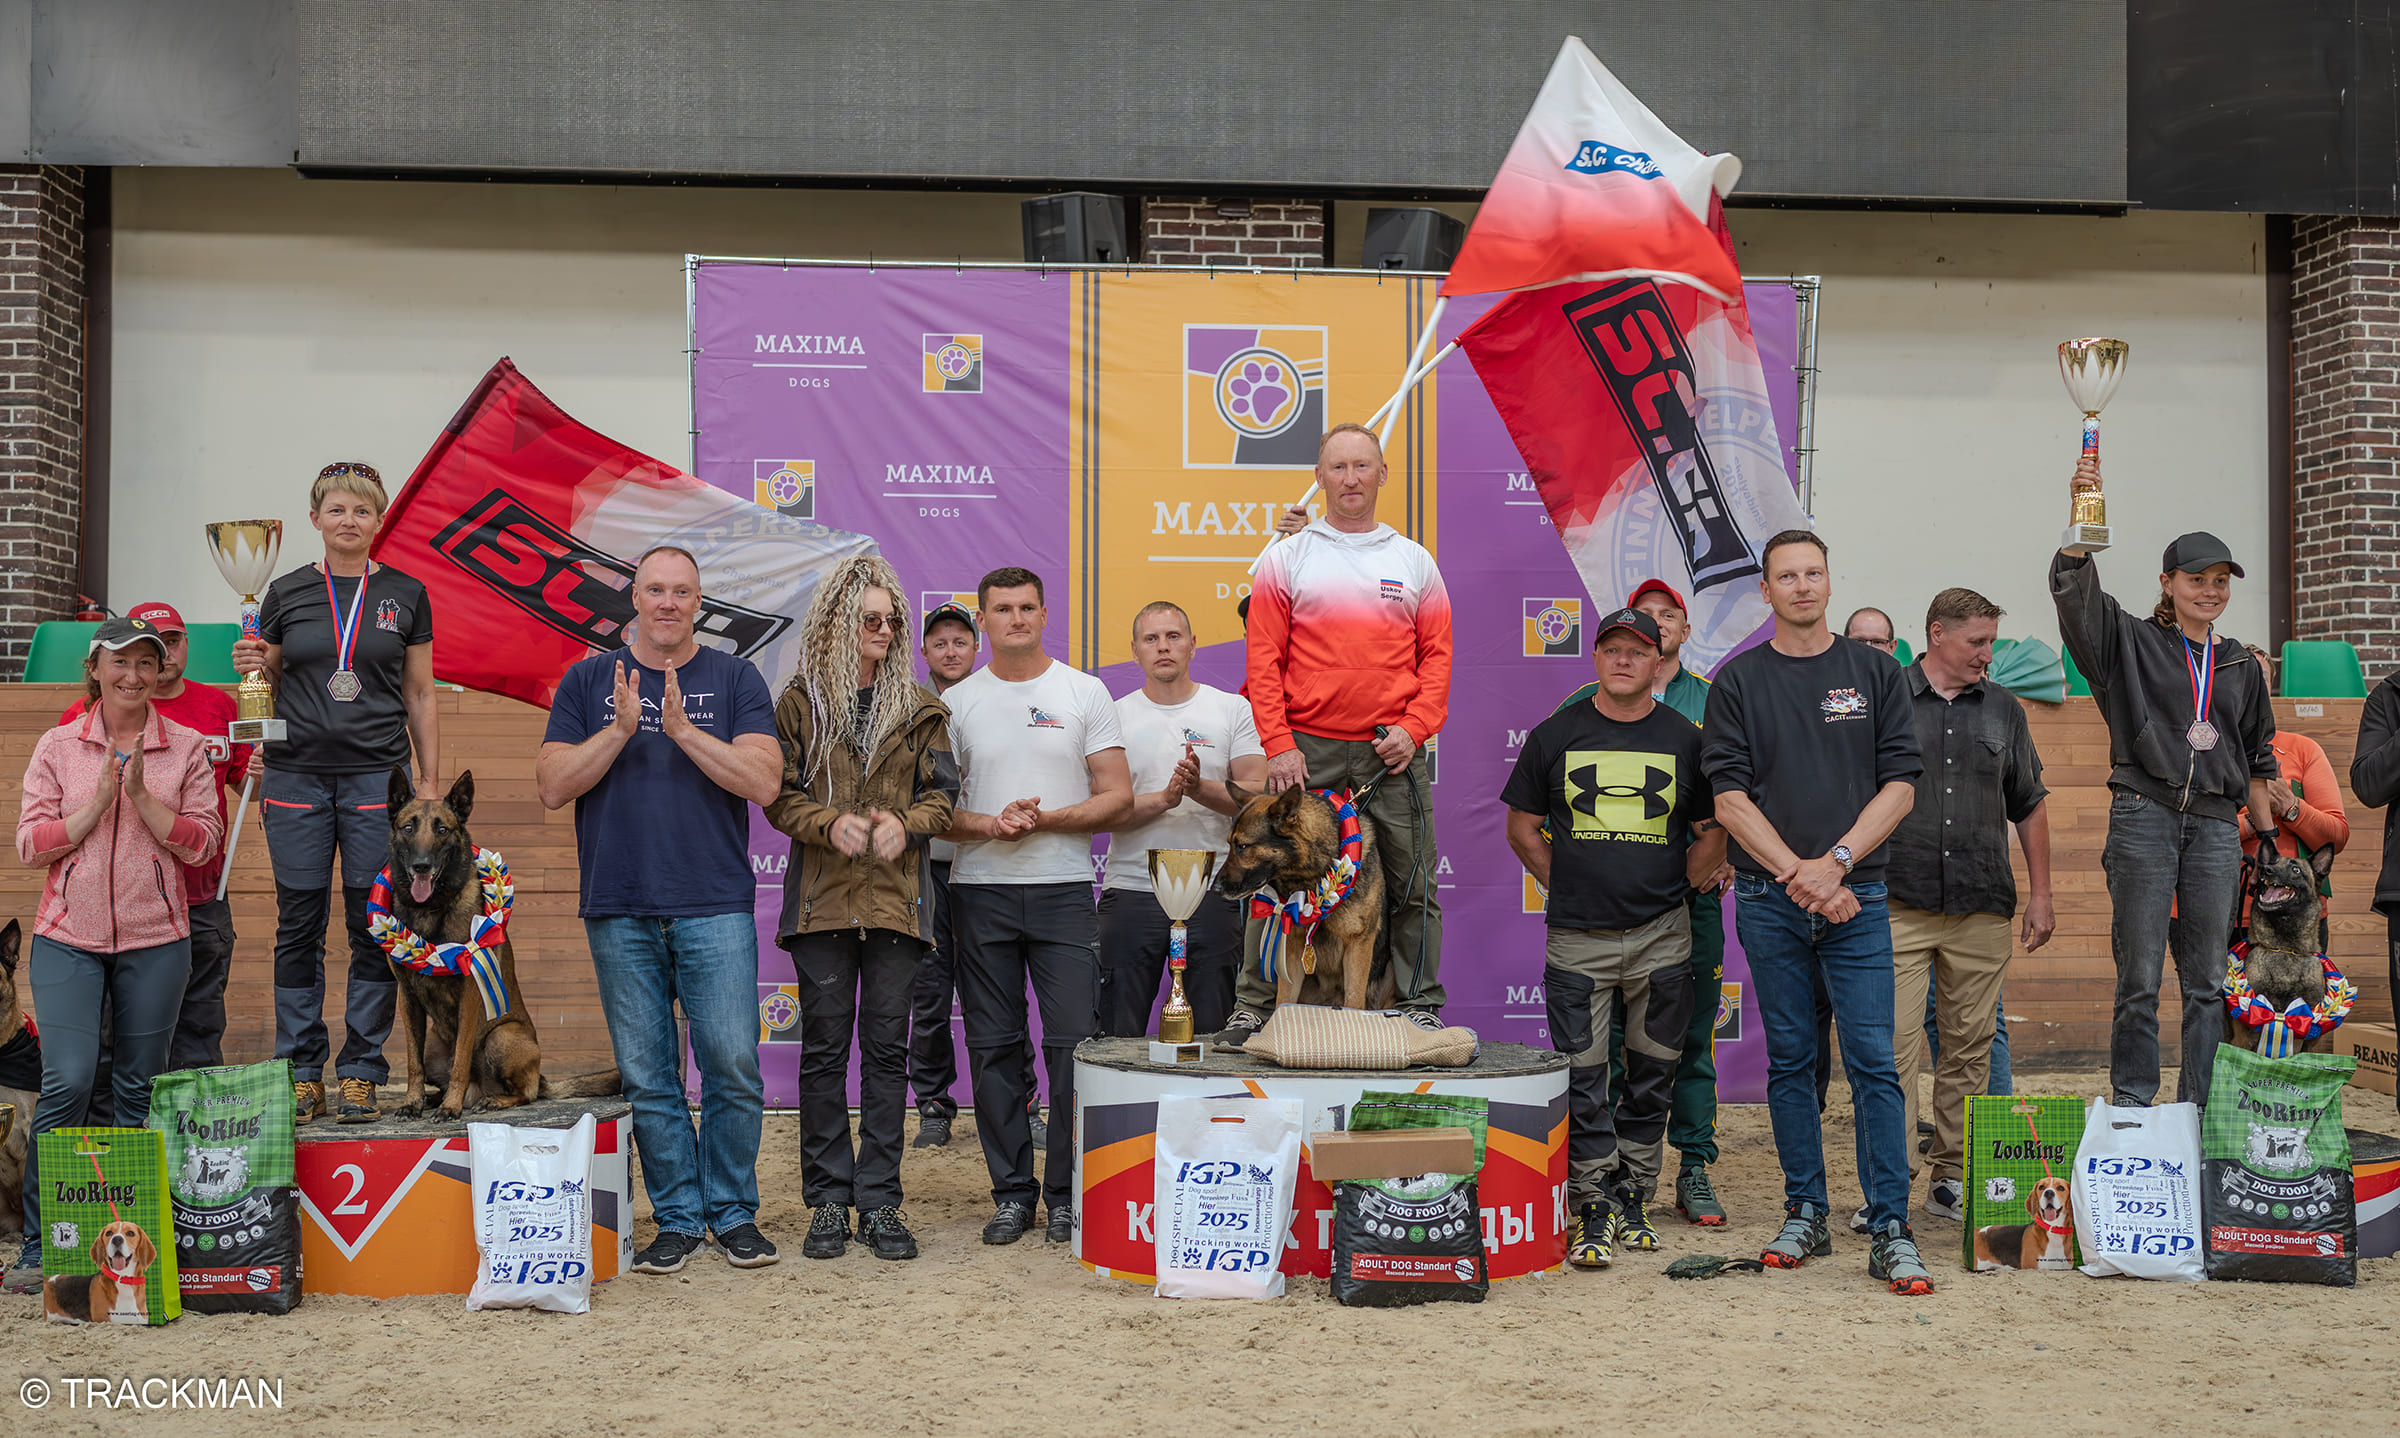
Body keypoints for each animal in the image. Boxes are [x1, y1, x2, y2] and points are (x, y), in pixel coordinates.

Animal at [383, 768, 617, 1119]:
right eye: (408, 828)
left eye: (442, 829)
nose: (421, 866)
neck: (431, 908)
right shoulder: (408, 997)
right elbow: (413, 1062)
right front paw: (413, 1102)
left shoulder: (469, 994)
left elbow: (461, 1059)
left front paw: (450, 1108)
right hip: (434, 1046)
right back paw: (437, 1098)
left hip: (502, 1036)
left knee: (526, 1094)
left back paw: (487, 1100)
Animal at [1218, 781, 1392, 1011]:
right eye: (1230, 844)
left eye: (1243, 846)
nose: (1216, 886)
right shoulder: (1291, 950)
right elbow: (1283, 1002)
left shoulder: (1358, 945)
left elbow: (1354, 1002)